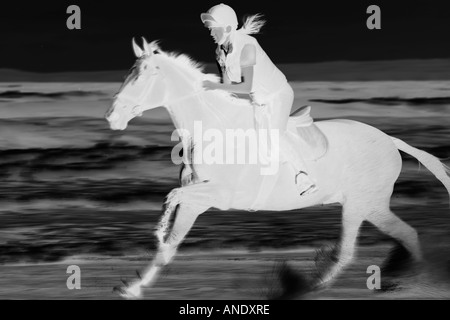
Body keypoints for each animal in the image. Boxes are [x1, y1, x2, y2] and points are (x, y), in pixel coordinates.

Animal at [104, 38, 450, 298]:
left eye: (144, 76)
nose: (112, 116)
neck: (214, 130)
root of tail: (389, 139)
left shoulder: (216, 194)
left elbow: (172, 197)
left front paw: (158, 230)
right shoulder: (197, 201)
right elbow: (170, 242)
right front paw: (133, 288)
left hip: (359, 204)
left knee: (351, 251)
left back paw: (304, 289)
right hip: (372, 206)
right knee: (406, 234)